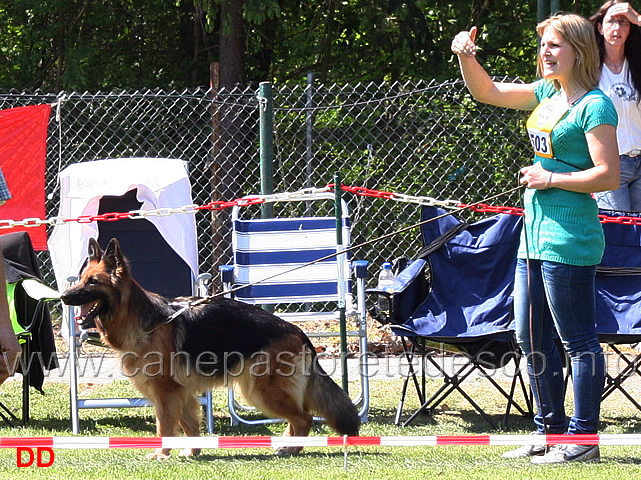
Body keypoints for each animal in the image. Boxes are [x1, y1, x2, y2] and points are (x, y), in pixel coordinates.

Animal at [60, 238, 360, 460]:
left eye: (93, 282)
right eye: (81, 279)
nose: (63, 297)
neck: (146, 321)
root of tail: (298, 331)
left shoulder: (165, 392)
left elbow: (165, 425)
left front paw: (162, 454)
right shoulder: (180, 393)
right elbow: (189, 424)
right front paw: (192, 451)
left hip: (262, 392)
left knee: (304, 417)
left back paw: (292, 448)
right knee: (298, 419)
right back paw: (286, 445)